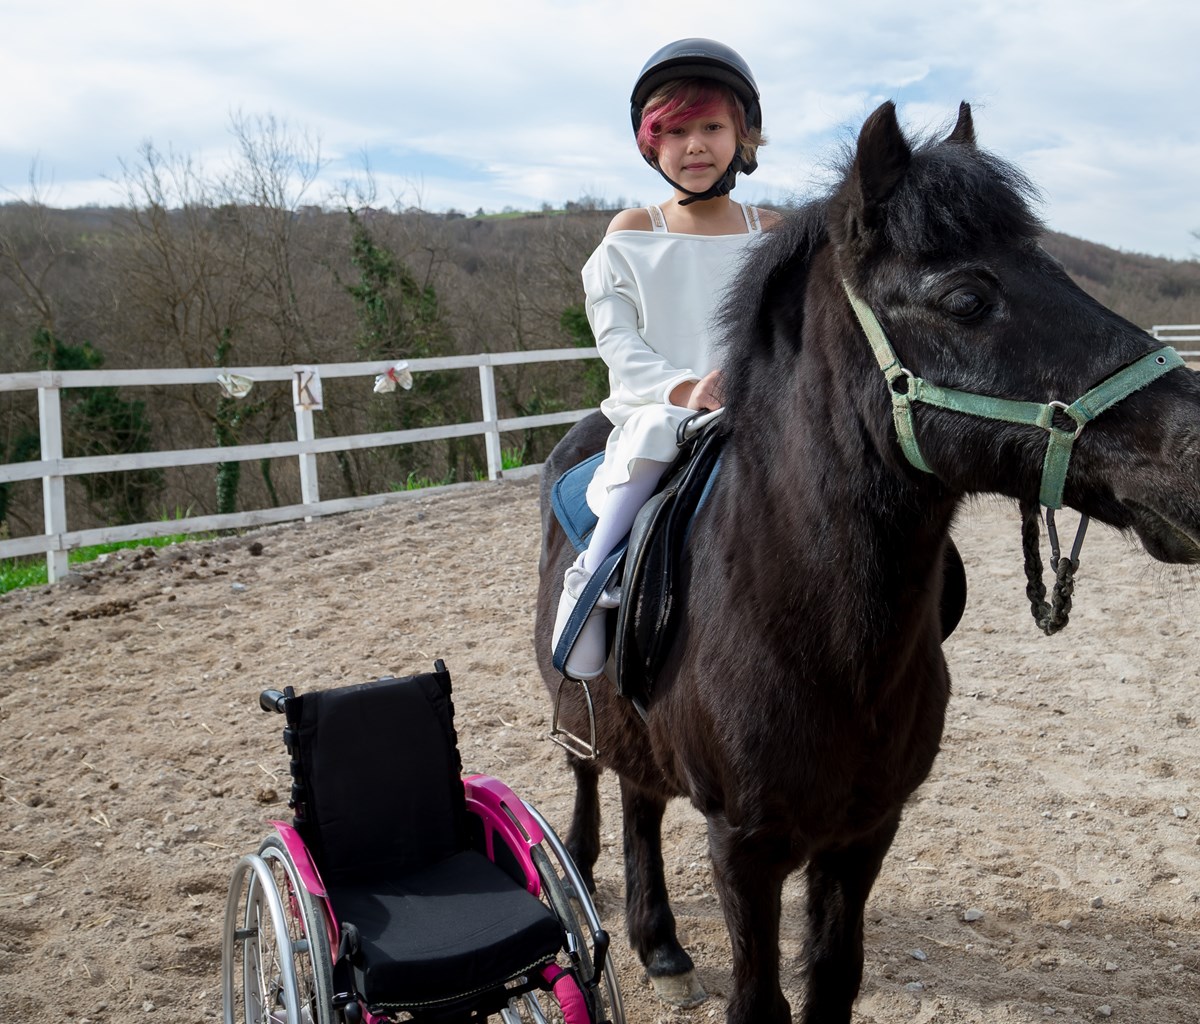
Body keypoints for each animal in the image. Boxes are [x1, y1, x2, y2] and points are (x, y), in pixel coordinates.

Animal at [535, 102, 1200, 1022]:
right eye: (966, 298)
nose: (1198, 446)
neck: (813, 637)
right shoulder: (744, 848)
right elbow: (761, 1002)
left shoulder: (863, 834)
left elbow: (833, 983)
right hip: (578, 712)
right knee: (595, 786)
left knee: (641, 796)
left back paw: (661, 944)